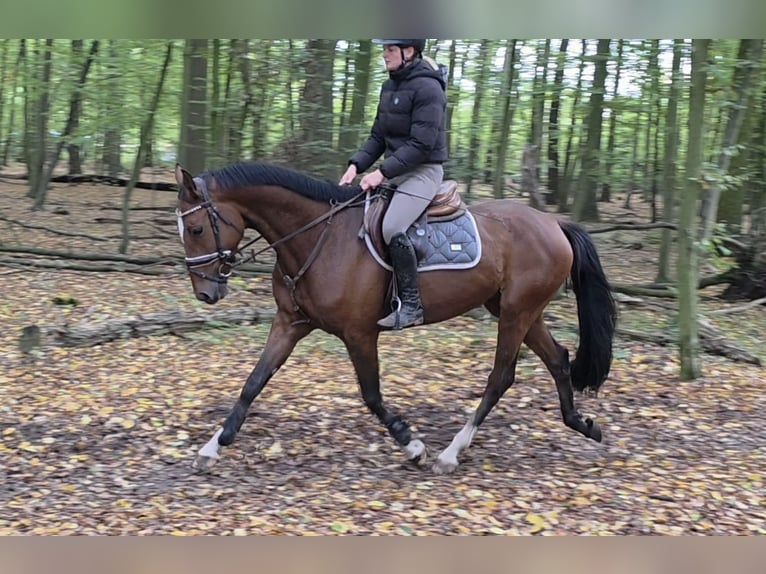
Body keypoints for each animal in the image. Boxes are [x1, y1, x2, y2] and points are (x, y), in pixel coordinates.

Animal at [174, 161, 617, 475]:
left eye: (195, 229)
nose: (206, 293)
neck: (317, 238)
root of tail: (554, 223)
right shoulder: (289, 324)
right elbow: (253, 384)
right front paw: (212, 448)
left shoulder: (358, 334)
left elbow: (371, 395)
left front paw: (413, 445)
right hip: (518, 310)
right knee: (557, 358)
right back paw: (581, 424)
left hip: (515, 312)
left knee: (501, 377)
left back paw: (451, 453)